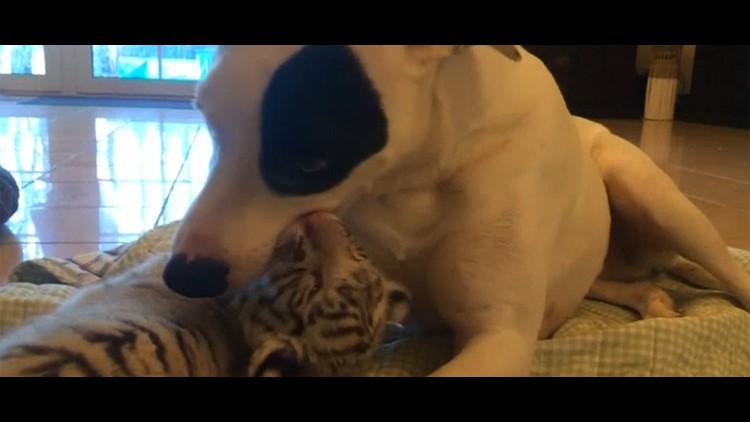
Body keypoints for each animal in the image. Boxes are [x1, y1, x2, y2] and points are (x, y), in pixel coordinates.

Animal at [163, 45, 750, 376]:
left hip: (655, 196)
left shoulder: (499, 337)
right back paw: (647, 297)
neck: (412, 180)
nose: (183, 276)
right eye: (206, 119)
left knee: (728, 269)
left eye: (311, 160)